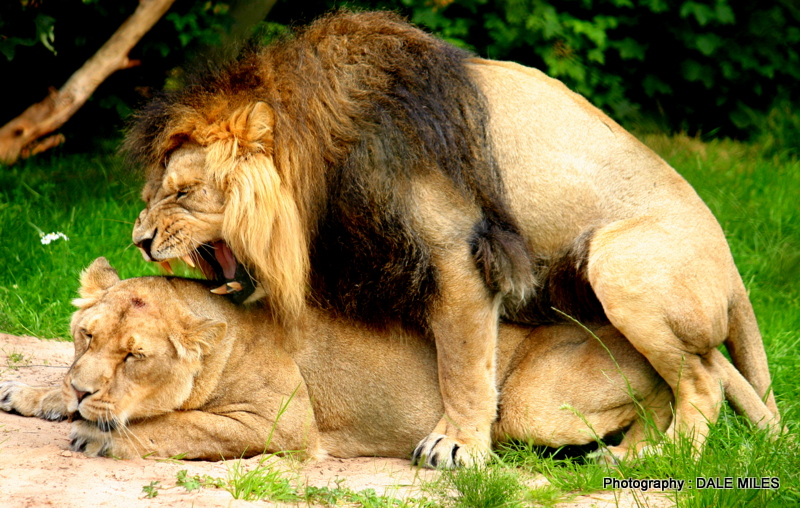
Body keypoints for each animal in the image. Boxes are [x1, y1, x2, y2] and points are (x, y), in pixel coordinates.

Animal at [0, 258, 777, 461]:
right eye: (86, 337)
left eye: (135, 357)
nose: (85, 388)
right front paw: (42, 394)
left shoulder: (280, 424)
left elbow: (181, 425)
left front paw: (96, 433)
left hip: (530, 404)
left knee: (681, 388)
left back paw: (639, 454)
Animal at [125, 11, 779, 467]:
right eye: (153, 192)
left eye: (183, 193)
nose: (138, 239)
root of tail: (733, 267)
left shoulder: (458, 257)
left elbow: (463, 366)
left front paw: (457, 445)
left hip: (619, 263)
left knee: (701, 380)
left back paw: (655, 457)